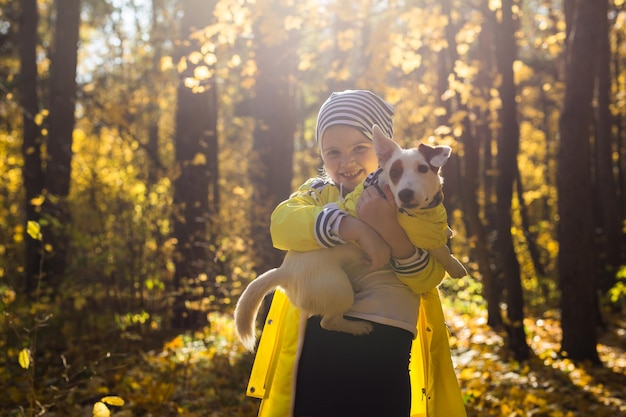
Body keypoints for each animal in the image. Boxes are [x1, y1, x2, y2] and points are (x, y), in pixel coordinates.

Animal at [234, 124, 464, 352]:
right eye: (394, 173)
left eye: (423, 169)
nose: (405, 194)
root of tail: (285, 272)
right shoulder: (417, 235)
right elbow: (441, 250)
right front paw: (455, 267)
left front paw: (447, 231)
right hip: (338, 290)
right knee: (328, 321)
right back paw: (358, 327)